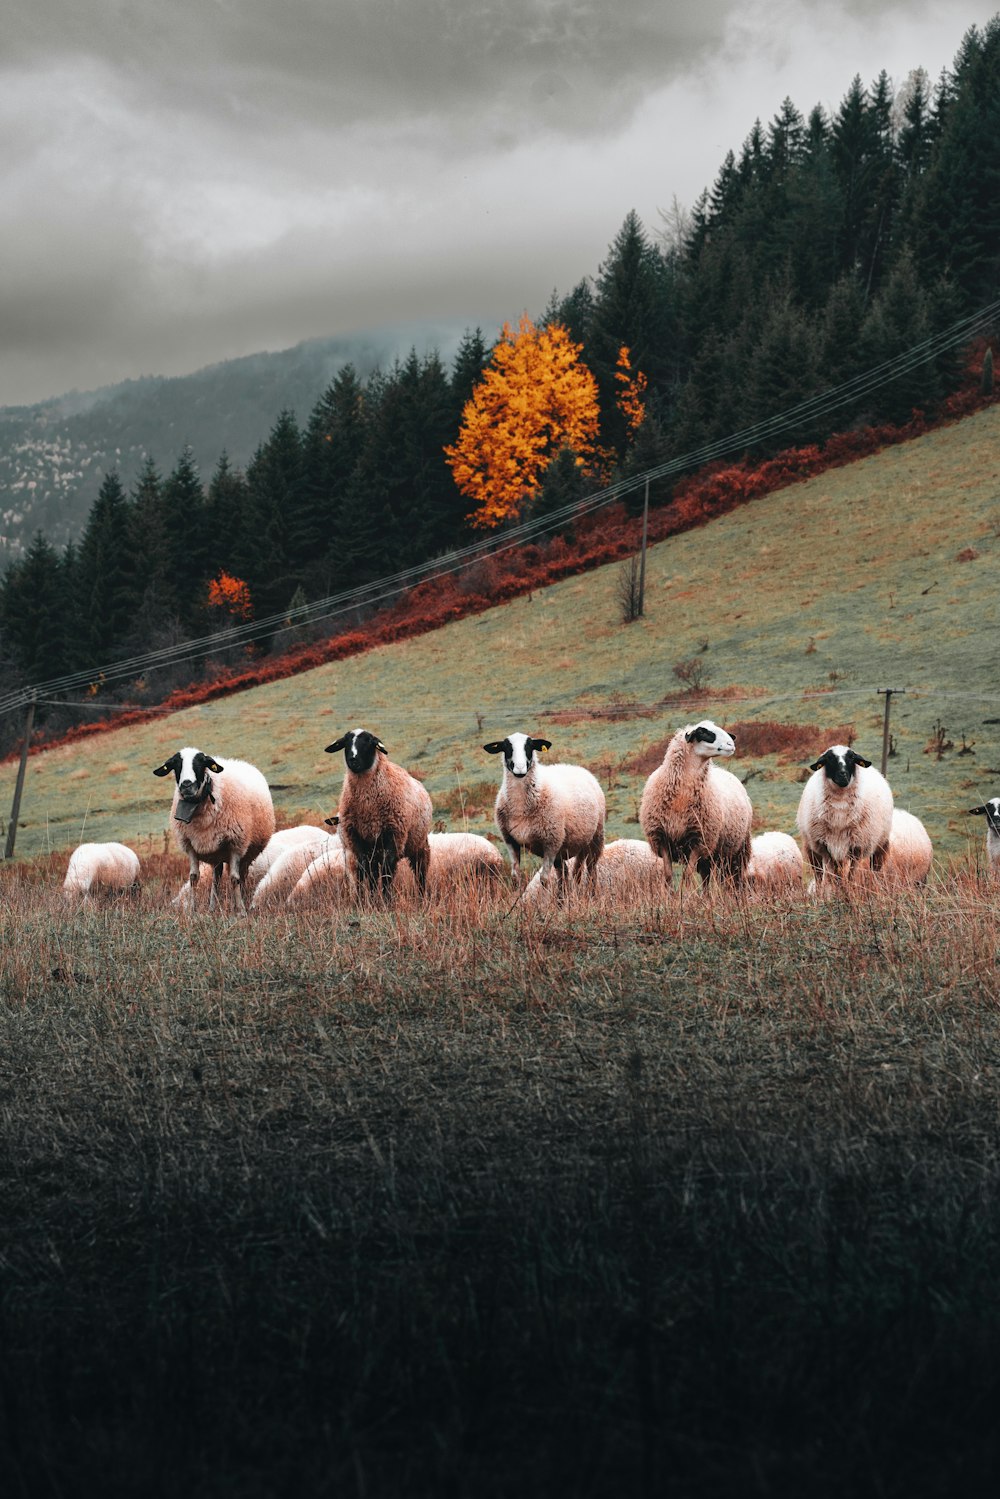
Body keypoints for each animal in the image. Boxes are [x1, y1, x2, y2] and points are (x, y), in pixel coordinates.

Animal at [150, 746, 274, 911]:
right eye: (175, 764)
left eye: (201, 762)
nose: (186, 785)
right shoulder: (190, 845)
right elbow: (194, 877)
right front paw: (192, 910)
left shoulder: (236, 844)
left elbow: (234, 879)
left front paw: (240, 911)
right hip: (217, 853)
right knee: (217, 877)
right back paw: (212, 907)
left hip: (247, 852)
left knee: (242, 875)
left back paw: (240, 902)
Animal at [326, 728, 431, 893]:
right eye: (345, 742)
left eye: (369, 741)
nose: (353, 759)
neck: (368, 805)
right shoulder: (358, 840)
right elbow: (366, 871)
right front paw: (371, 898)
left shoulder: (393, 836)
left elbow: (387, 873)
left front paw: (387, 897)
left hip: (419, 844)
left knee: (420, 872)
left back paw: (422, 895)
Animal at [479, 734, 605, 887]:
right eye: (506, 747)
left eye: (530, 746)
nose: (520, 768)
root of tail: (576, 767)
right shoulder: (510, 840)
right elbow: (515, 877)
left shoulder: (551, 842)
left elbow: (544, 879)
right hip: (571, 846)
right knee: (568, 872)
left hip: (596, 836)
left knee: (591, 868)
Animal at [641, 716, 749, 881]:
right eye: (703, 732)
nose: (731, 744)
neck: (681, 798)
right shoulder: (662, 838)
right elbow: (668, 874)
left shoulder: (699, 841)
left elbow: (687, 875)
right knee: (706, 876)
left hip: (735, 850)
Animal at [797, 737, 893, 887]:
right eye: (829, 759)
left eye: (852, 757)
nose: (843, 775)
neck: (840, 807)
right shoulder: (826, 848)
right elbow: (834, 877)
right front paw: (838, 891)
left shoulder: (857, 847)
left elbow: (851, 876)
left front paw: (849, 891)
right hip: (812, 847)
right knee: (819, 874)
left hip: (880, 843)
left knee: (875, 869)